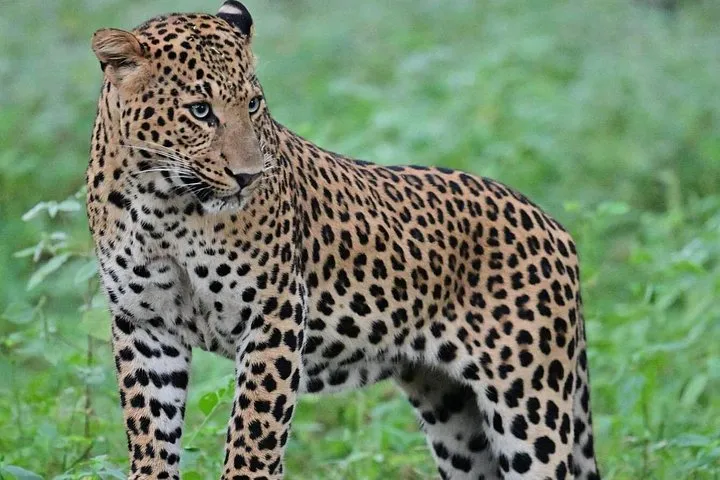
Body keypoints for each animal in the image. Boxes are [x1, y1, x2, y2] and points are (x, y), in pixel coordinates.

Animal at [86, 2, 601, 479]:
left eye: (252, 104)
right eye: (199, 111)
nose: (248, 176)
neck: (164, 204)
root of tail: (554, 226)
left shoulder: (274, 315)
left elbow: (254, 431)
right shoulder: (146, 326)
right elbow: (151, 432)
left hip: (529, 407)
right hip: (455, 415)